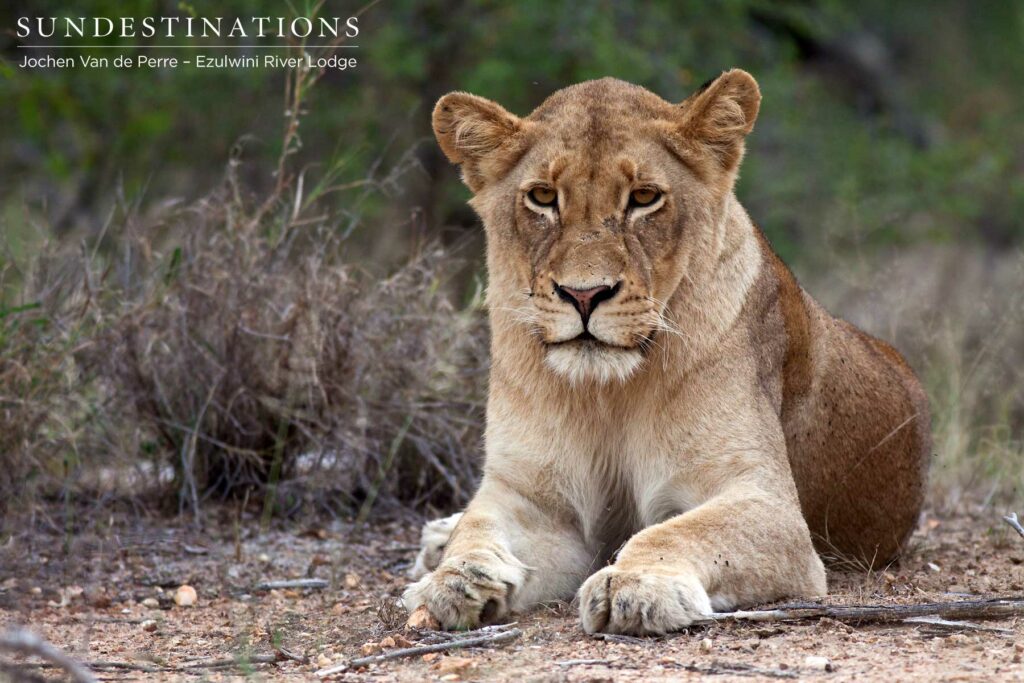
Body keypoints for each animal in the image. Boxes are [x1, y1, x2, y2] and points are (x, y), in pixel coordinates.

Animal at [403, 70, 931, 635]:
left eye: (644, 197)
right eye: (543, 196)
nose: (584, 295)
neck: (605, 393)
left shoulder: (769, 505)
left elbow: (673, 531)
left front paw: (634, 582)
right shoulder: (535, 499)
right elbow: (480, 525)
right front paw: (454, 578)